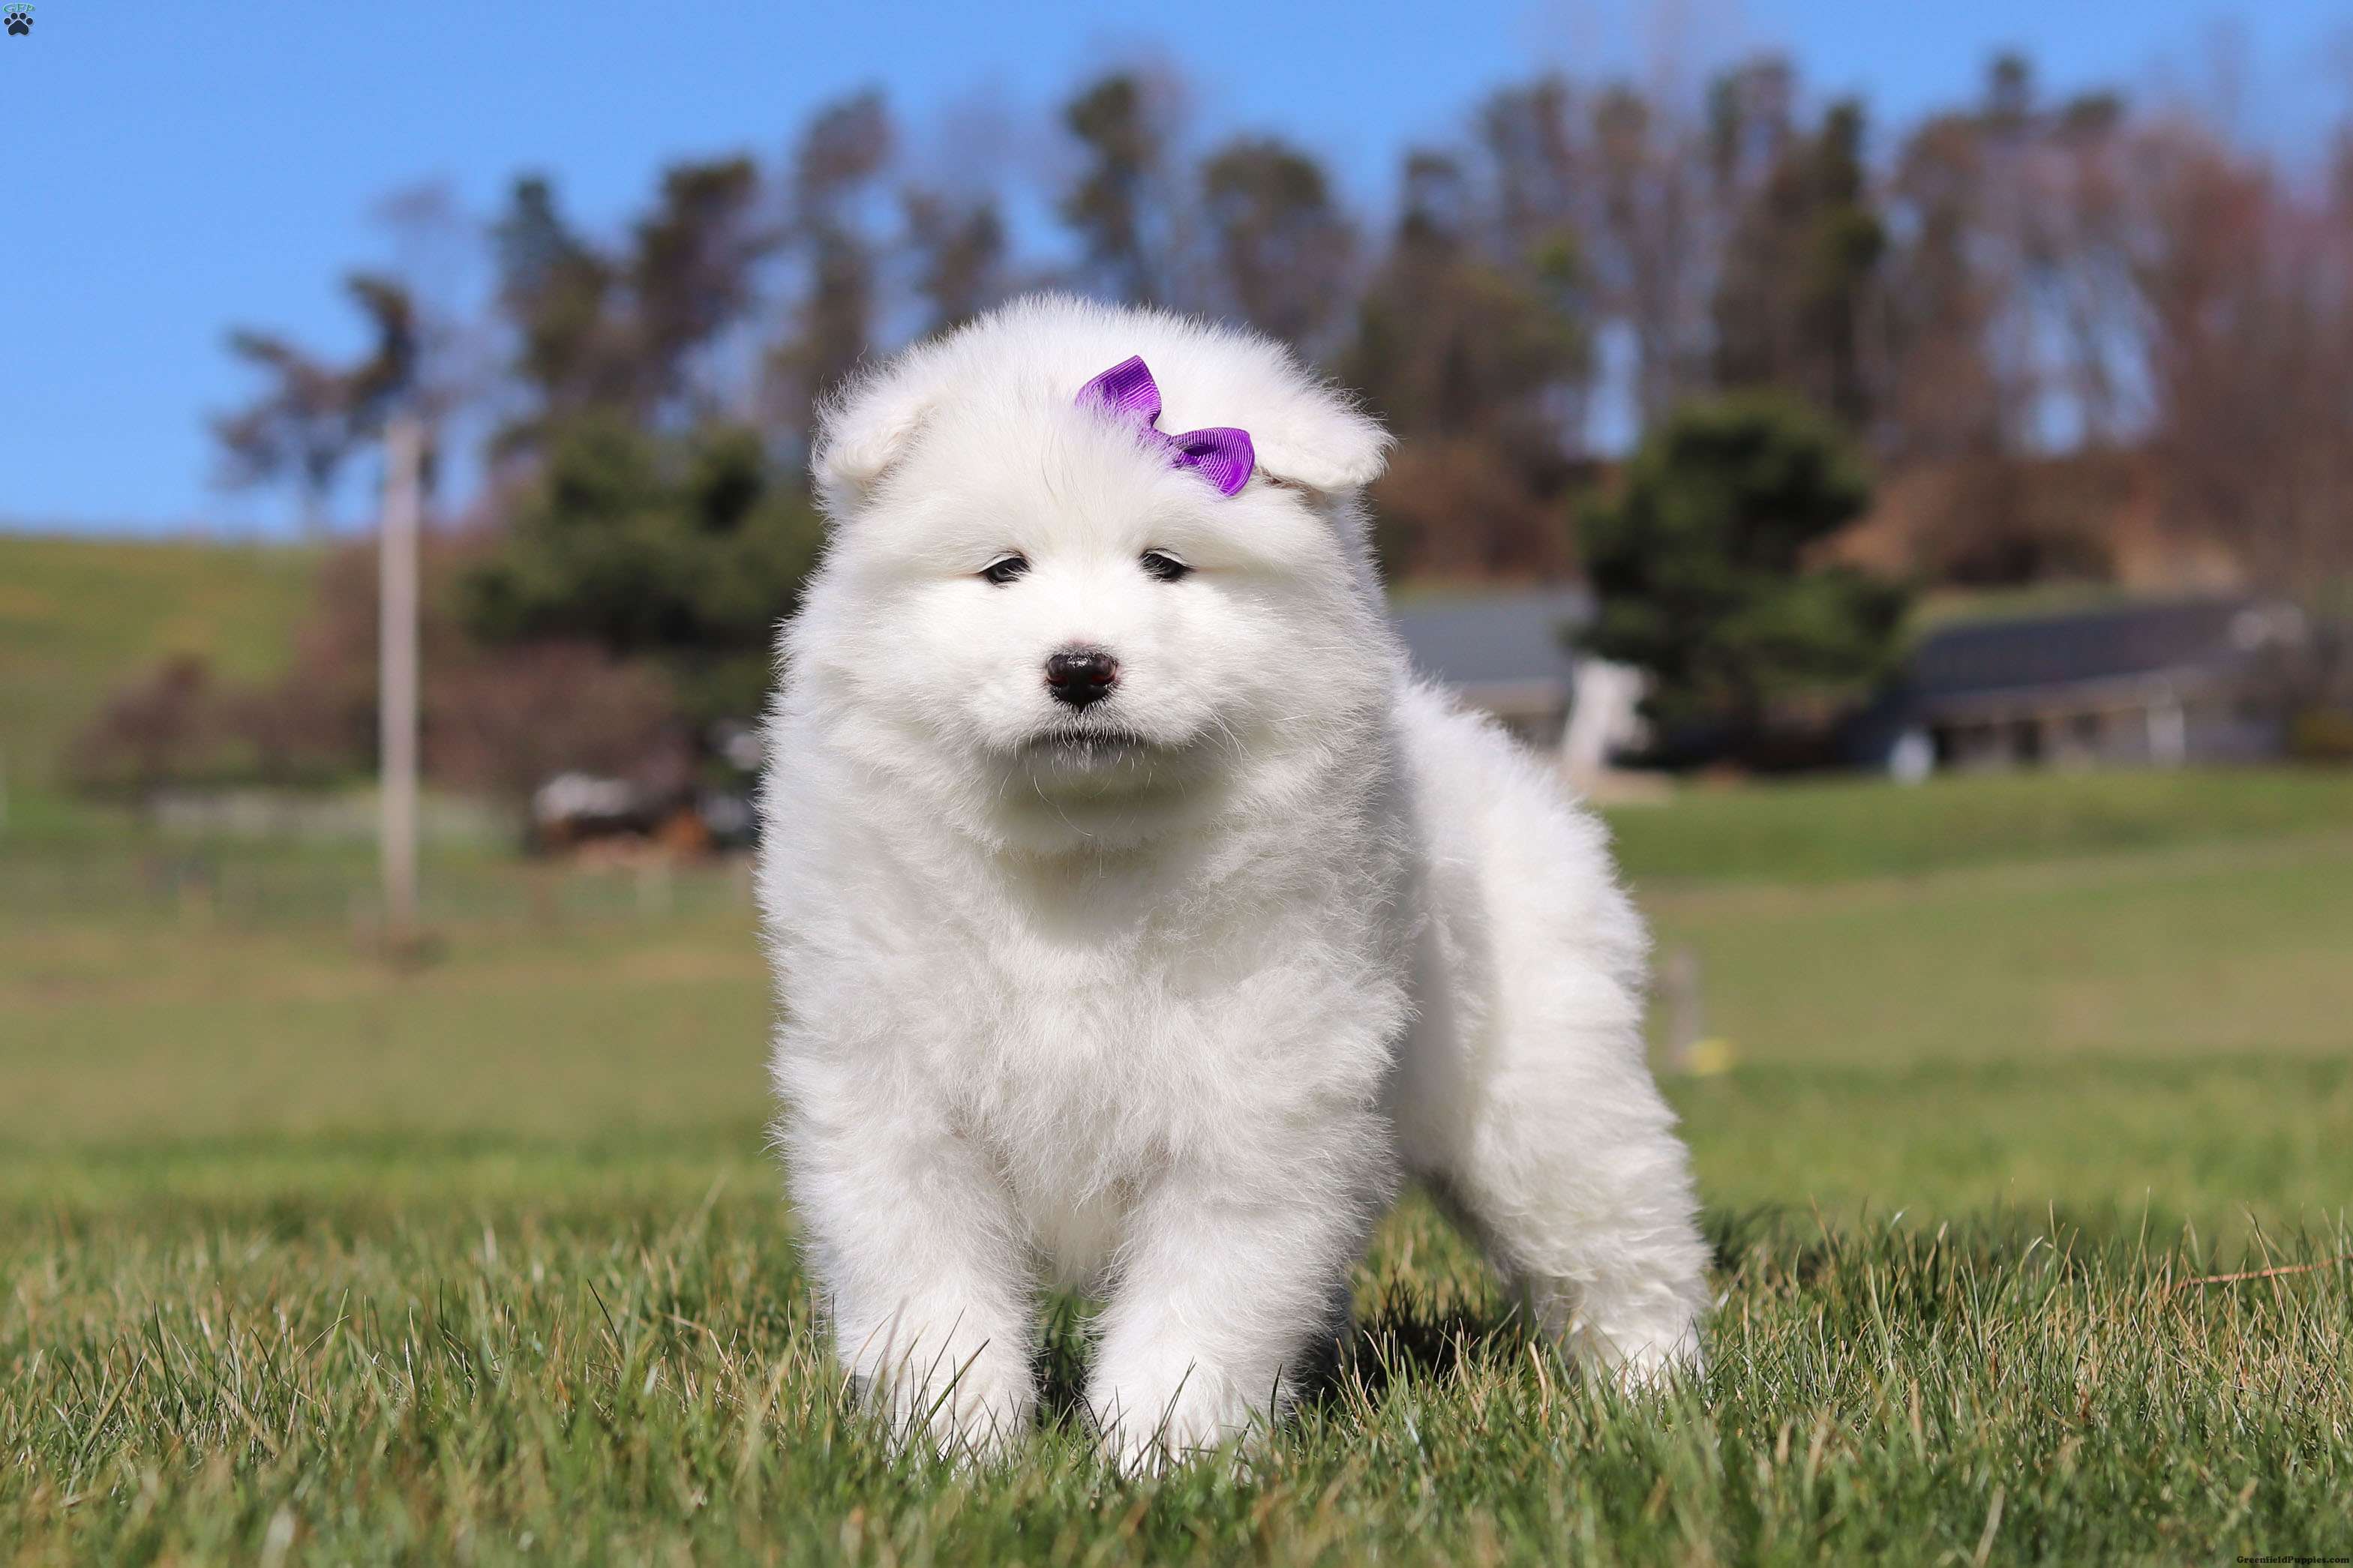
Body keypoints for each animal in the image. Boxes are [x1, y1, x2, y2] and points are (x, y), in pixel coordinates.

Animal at [759, 295, 1709, 1469]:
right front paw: (957, 1449)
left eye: (1166, 565)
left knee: (1619, 1238)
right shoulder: (898, 1097)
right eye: (1003, 569)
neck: (1086, 847)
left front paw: (1156, 1455)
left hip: (1543, 1093)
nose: (1080, 667)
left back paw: (1652, 1393)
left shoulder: (1254, 1104)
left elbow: (1199, 1300)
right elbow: (930, 1291)